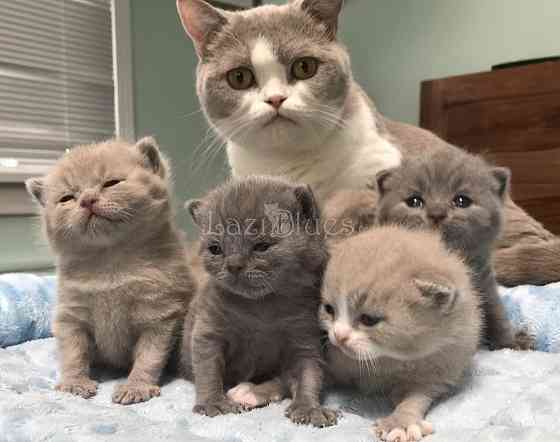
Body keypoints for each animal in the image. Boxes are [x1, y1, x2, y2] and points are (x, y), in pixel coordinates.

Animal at [25, 138, 195, 404]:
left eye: (111, 183)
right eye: (67, 198)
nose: (87, 200)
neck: (110, 261)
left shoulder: (160, 315)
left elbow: (149, 356)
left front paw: (136, 387)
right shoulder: (71, 316)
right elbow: (73, 353)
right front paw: (74, 383)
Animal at [179, 176, 336, 428]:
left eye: (261, 246)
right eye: (215, 249)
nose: (233, 264)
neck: (261, 307)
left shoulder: (305, 337)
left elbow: (309, 373)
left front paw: (309, 408)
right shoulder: (208, 331)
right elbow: (208, 369)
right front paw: (214, 402)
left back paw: (249, 393)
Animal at [320, 226, 482, 440]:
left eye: (368, 320)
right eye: (329, 309)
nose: (339, 336)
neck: (385, 360)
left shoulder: (438, 369)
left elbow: (415, 399)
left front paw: (400, 422)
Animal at [374, 147, 520, 350]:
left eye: (462, 201)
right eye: (414, 201)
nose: (437, 213)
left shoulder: (486, 284)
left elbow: (497, 313)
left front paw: (511, 345)